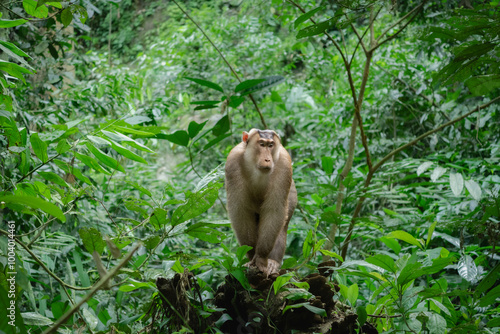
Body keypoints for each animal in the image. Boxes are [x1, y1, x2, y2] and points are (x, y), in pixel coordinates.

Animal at [226, 128, 296, 276]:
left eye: (271, 145)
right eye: (262, 144)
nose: (267, 159)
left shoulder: (284, 164)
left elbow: (274, 211)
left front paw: (261, 258)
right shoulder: (232, 162)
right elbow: (240, 210)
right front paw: (252, 255)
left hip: (292, 194)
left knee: (282, 223)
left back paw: (273, 262)